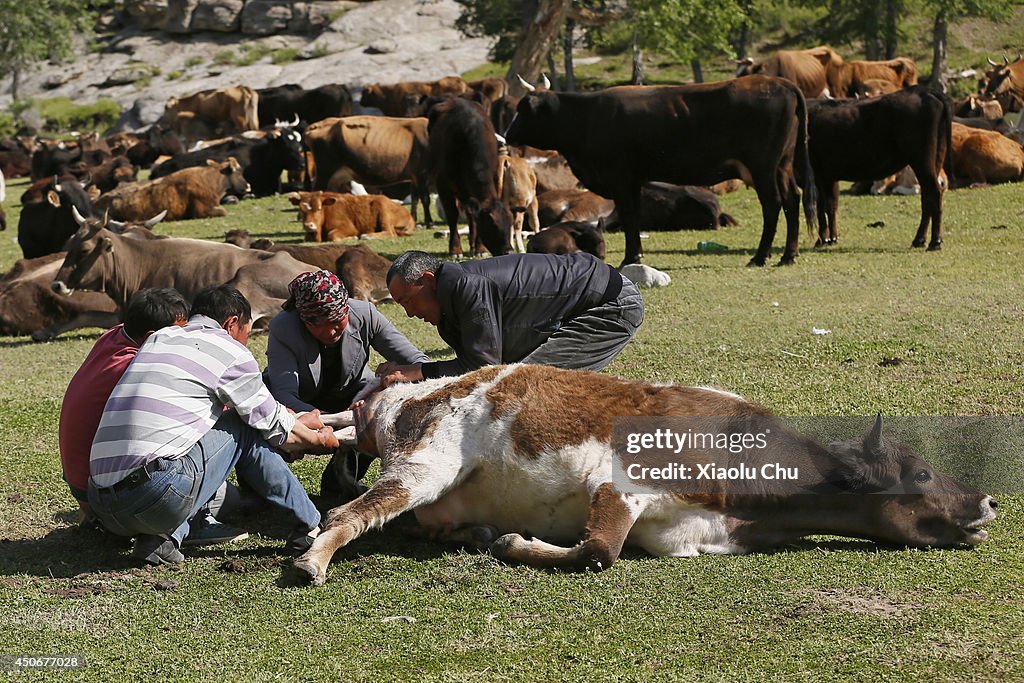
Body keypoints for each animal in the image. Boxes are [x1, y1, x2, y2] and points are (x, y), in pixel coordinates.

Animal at [292, 366, 995, 585]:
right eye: (921, 472)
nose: (988, 502)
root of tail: (399, 395)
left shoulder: (684, 536)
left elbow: (601, 550)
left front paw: (507, 540)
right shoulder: (621, 485)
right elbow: (598, 551)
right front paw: (517, 543)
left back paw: (468, 534)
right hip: (424, 466)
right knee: (350, 514)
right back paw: (312, 559)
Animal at [503, 76, 815, 266]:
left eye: (523, 109)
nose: (507, 135)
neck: (587, 117)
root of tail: (779, 82)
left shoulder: (620, 178)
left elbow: (630, 217)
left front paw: (630, 258)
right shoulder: (633, 180)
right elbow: (633, 218)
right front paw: (636, 255)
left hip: (763, 167)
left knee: (773, 205)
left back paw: (761, 256)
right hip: (782, 166)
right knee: (792, 199)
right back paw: (789, 254)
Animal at [802, 85, 954, 250]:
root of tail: (924, 91)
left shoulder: (818, 175)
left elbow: (821, 207)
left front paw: (822, 240)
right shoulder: (829, 177)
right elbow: (831, 205)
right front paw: (832, 238)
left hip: (921, 160)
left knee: (934, 192)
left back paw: (934, 242)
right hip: (935, 160)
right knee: (928, 196)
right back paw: (920, 240)